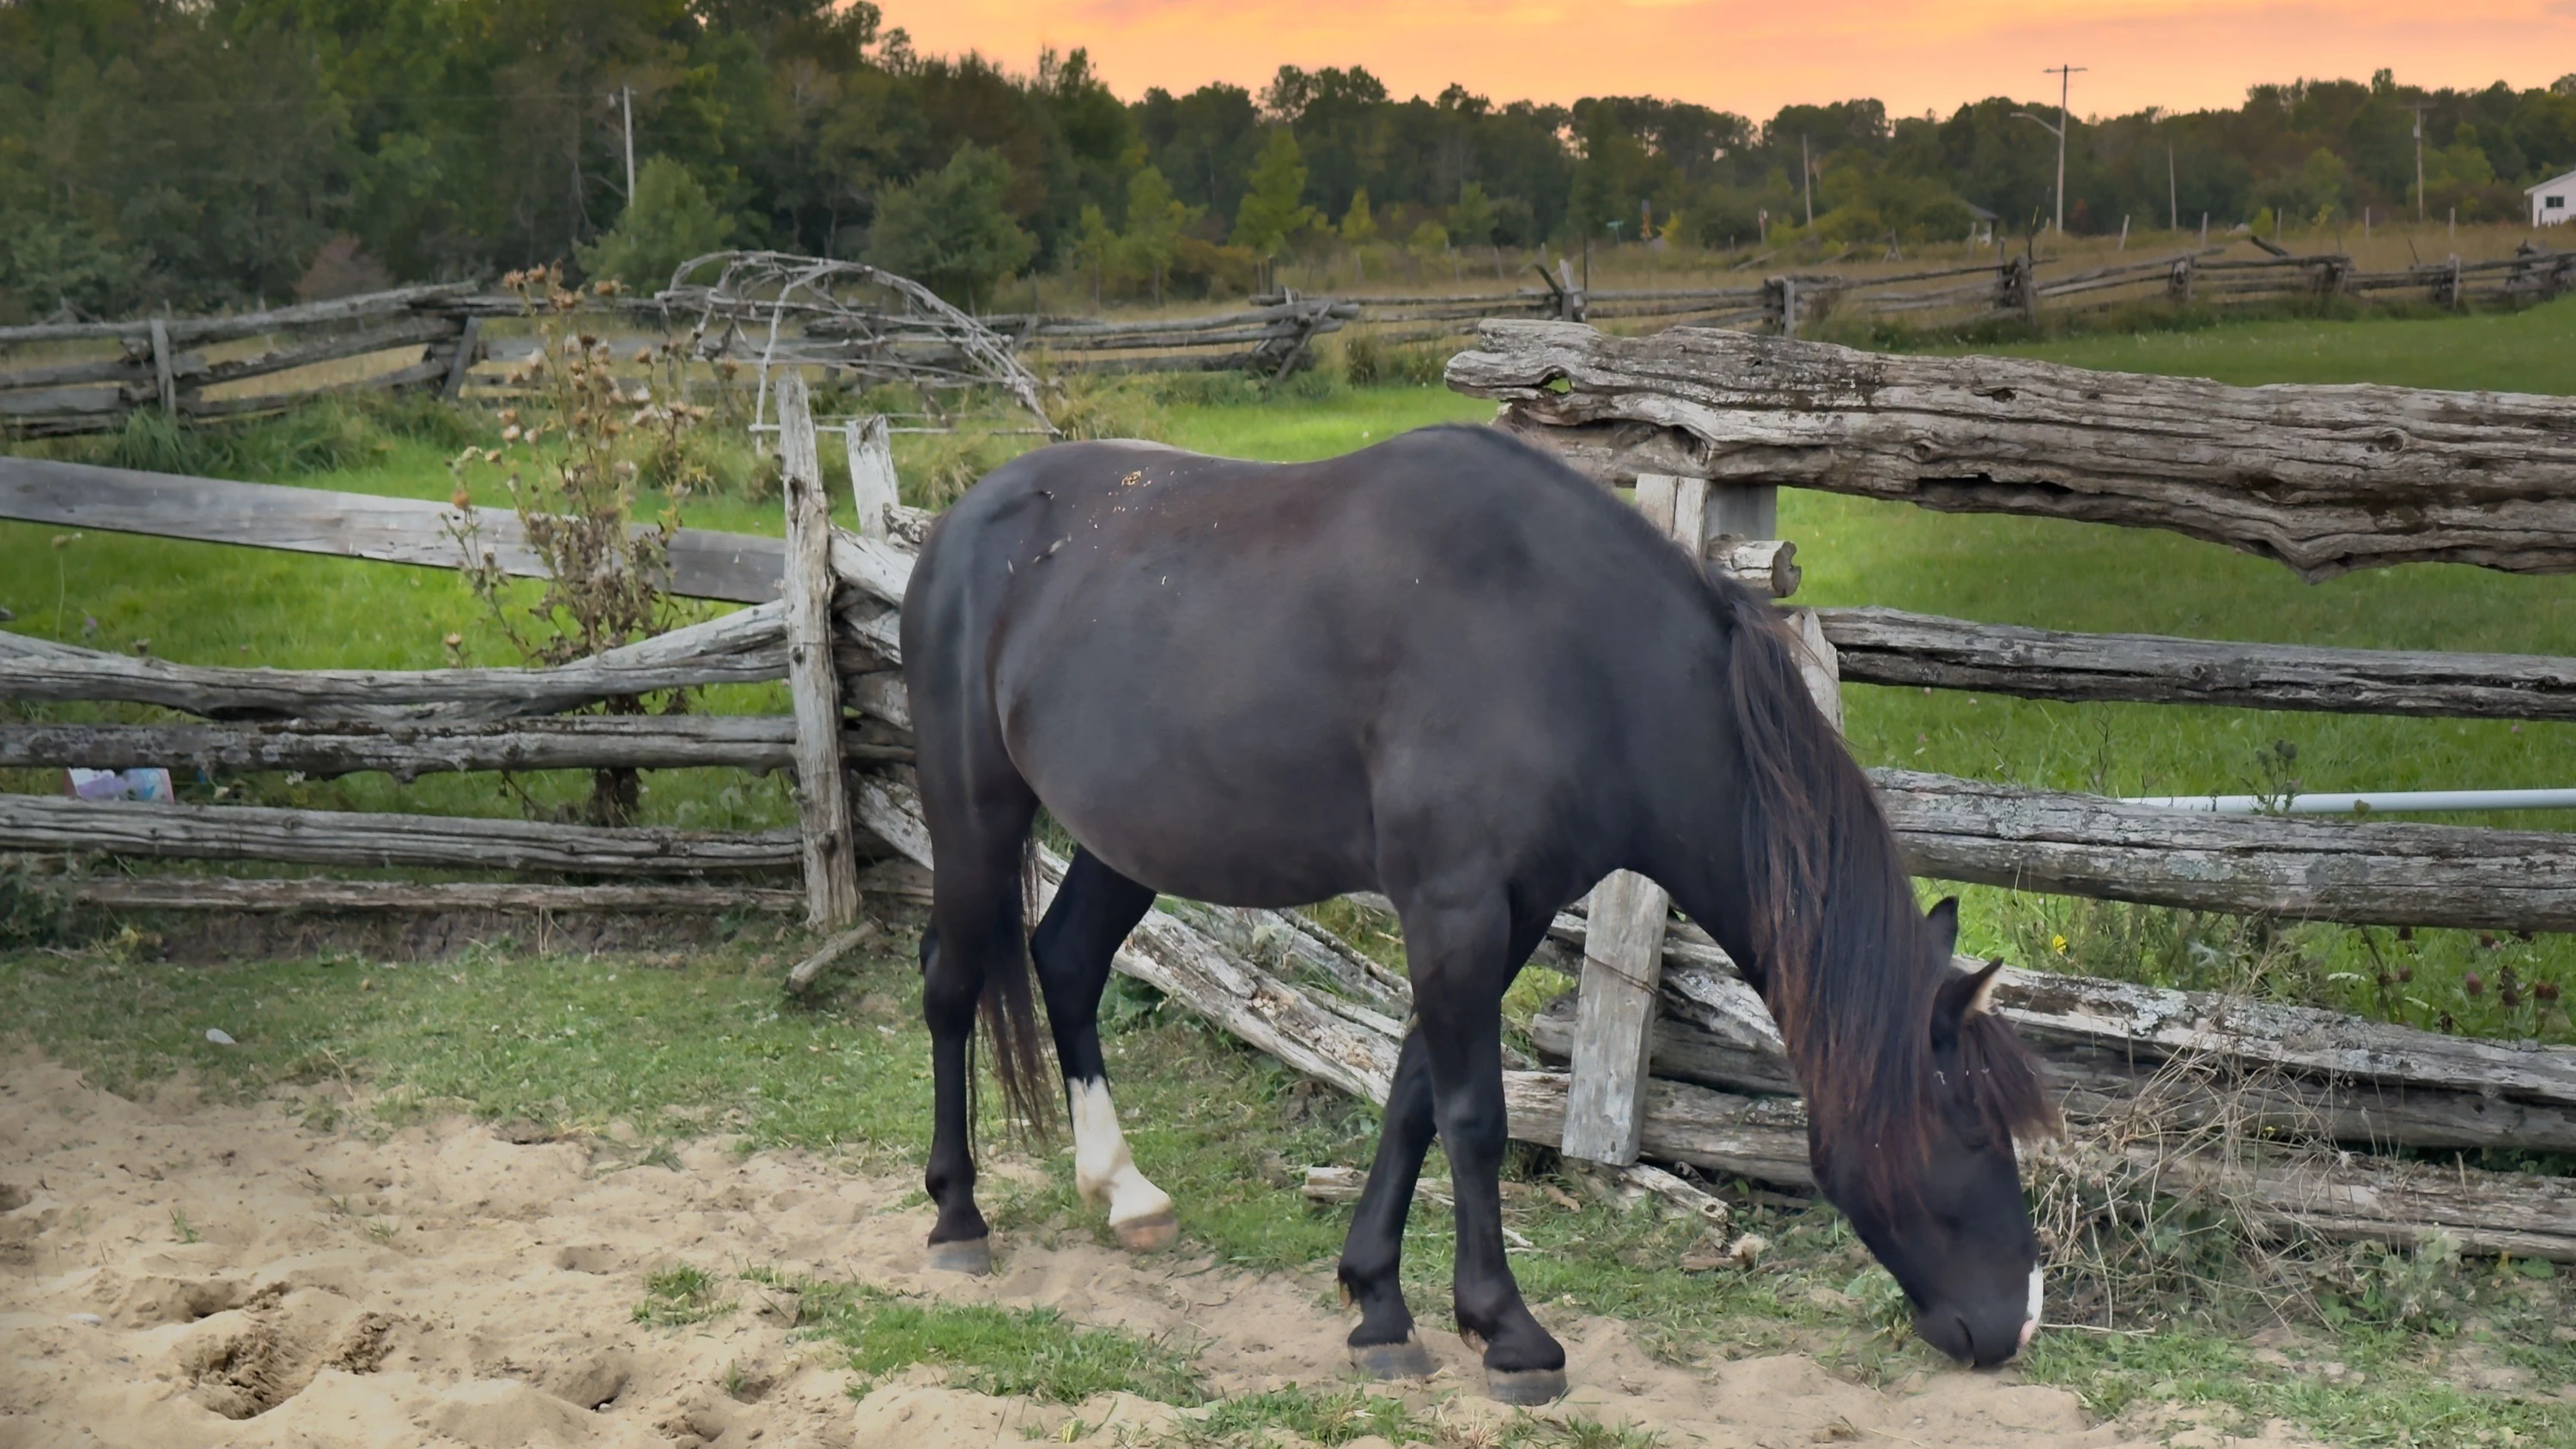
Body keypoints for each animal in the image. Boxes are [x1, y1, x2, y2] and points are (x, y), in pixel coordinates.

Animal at [900, 424, 2058, 1401]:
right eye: (1967, 1121)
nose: (2020, 1323)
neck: (1569, 651)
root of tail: (964, 520)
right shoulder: (1453, 906)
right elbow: (1474, 1116)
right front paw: (1509, 1332)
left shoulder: (1507, 911)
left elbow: (1415, 1092)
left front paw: (1378, 1303)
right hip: (972, 808)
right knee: (950, 981)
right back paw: (957, 1216)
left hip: (1126, 839)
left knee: (1066, 963)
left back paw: (1125, 1191)